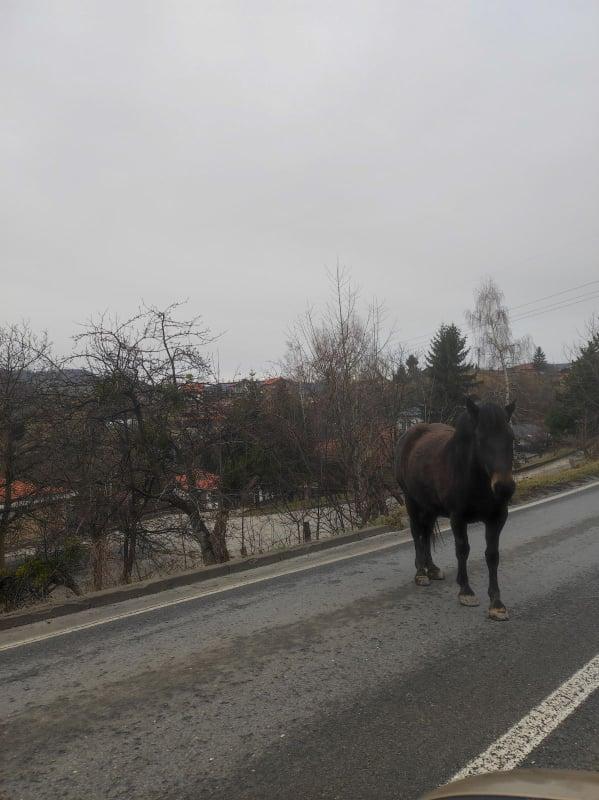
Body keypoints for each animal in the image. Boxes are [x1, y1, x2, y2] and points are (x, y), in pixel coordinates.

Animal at [396, 398, 516, 620]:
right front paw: (466, 591)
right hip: (412, 502)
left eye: (510, 437)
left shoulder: (497, 518)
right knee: (417, 533)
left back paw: (432, 569)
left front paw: (496, 604)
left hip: (430, 507)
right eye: (480, 438)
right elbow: (462, 550)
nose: (504, 487)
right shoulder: (458, 518)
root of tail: (408, 435)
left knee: (426, 533)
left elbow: (492, 555)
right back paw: (421, 573)